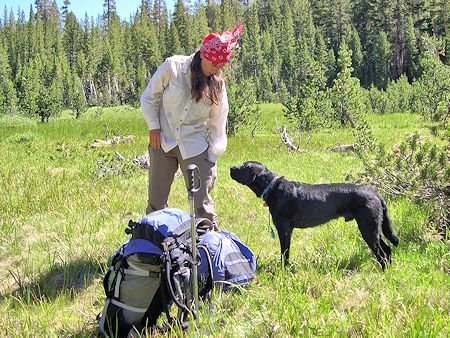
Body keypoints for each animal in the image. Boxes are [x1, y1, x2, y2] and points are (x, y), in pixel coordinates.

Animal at [230, 161, 400, 270]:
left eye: (243, 167)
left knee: (381, 252)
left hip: (368, 228)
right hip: (374, 228)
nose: (231, 167)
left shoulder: (284, 229)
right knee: (387, 250)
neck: (273, 187)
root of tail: (375, 192)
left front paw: (284, 270)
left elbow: (285, 253)